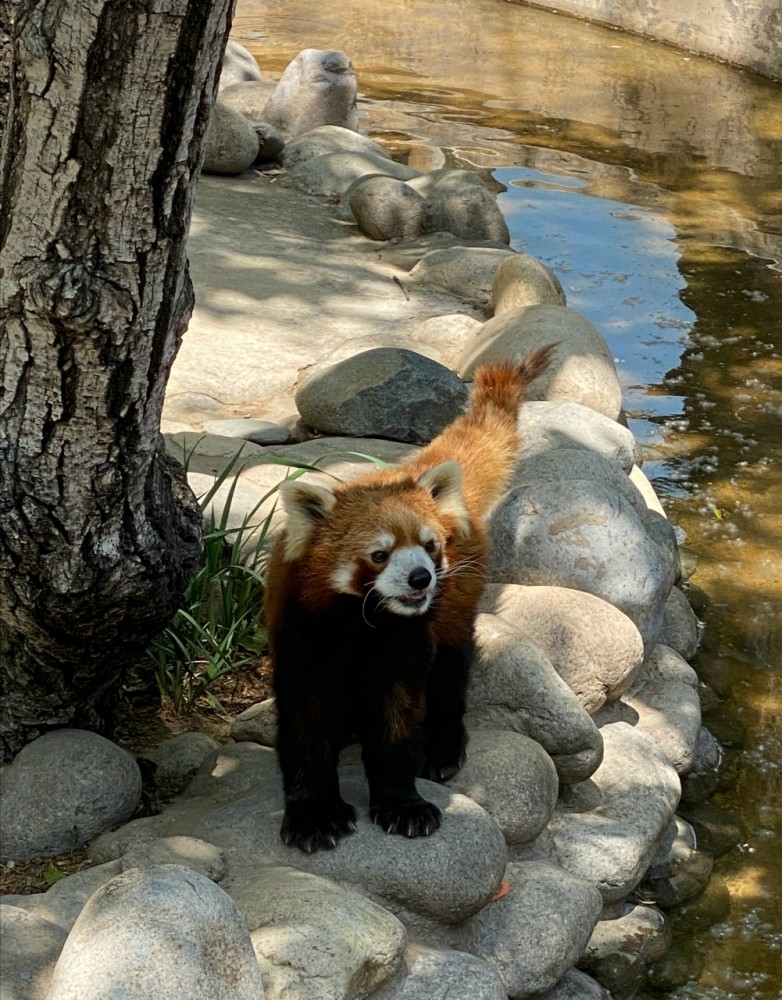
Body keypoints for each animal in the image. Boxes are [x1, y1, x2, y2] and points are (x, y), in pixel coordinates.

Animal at [266, 344, 556, 852]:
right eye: (379, 555)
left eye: (429, 544)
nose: (421, 578)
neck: (361, 624)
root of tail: (407, 469)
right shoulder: (300, 633)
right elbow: (303, 726)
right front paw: (314, 814)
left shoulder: (406, 646)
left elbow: (398, 722)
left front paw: (402, 804)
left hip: (456, 604)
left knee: (451, 668)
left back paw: (441, 748)